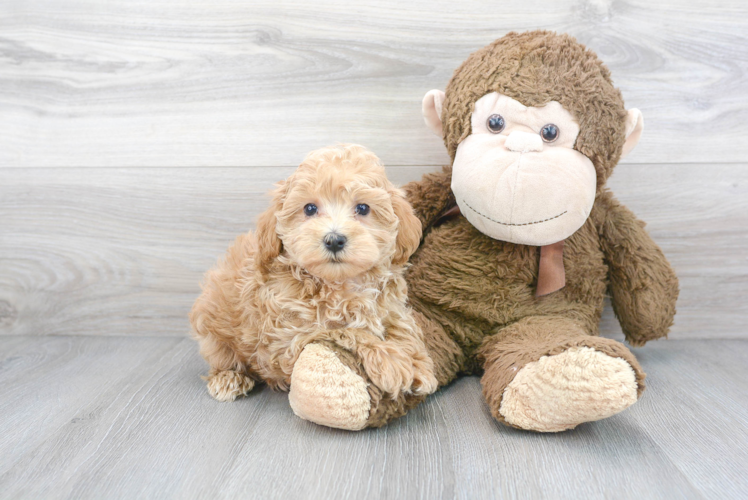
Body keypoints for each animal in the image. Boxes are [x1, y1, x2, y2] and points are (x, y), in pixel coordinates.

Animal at [190, 145, 438, 430]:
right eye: (309, 208)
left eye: (363, 208)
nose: (334, 239)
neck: (339, 284)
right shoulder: (290, 336)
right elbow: (344, 330)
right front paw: (392, 361)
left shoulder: (390, 306)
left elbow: (402, 325)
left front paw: (419, 364)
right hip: (212, 329)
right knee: (223, 357)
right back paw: (228, 378)